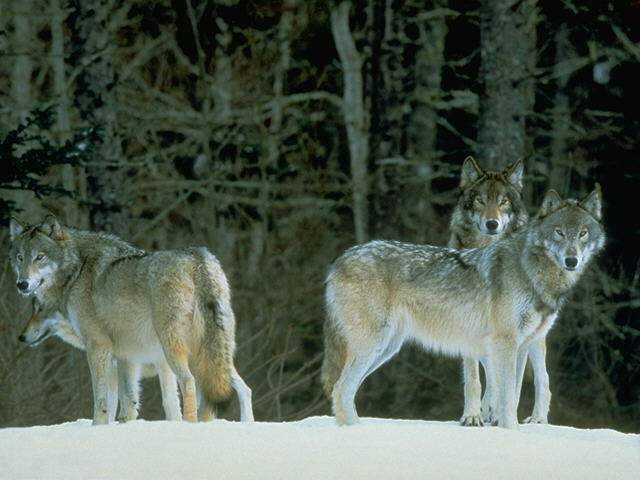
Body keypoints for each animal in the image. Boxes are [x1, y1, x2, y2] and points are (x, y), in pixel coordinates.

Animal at [9, 217, 255, 424]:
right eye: (20, 258)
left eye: (39, 257)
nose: (22, 284)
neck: (77, 269)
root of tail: (199, 257)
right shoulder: (125, 357)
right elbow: (128, 404)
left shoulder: (99, 347)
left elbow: (103, 402)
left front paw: (97, 427)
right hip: (209, 354)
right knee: (241, 388)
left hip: (174, 348)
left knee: (189, 383)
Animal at [322, 187, 604, 428]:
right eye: (559, 232)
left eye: (582, 233)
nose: (571, 260)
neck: (532, 270)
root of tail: (340, 259)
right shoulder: (505, 343)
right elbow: (504, 399)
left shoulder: (521, 344)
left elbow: (511, 396)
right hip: (374, 345)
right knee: (341, 387)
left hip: (386, 348)